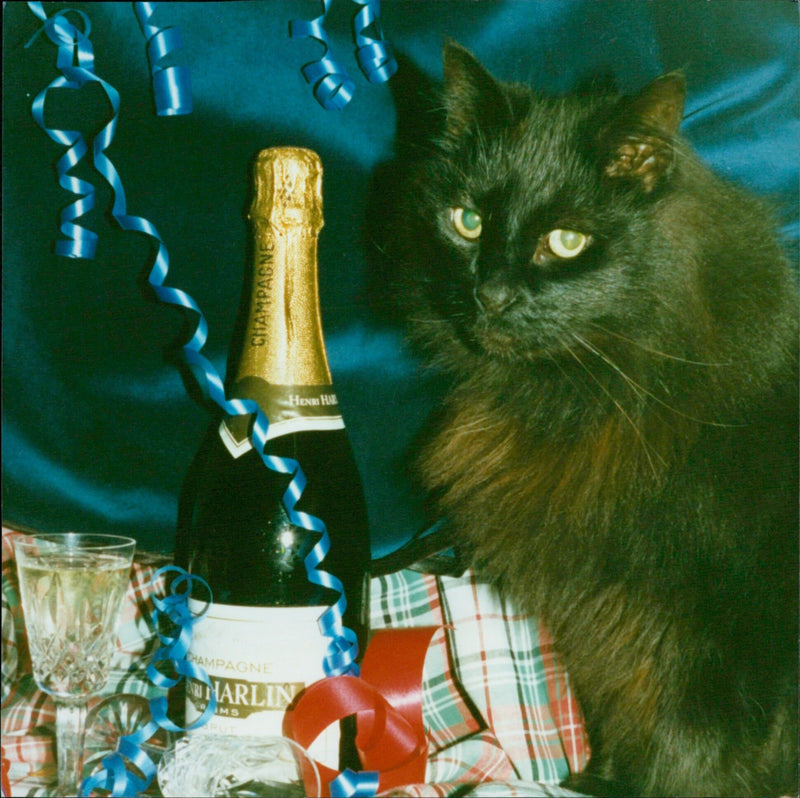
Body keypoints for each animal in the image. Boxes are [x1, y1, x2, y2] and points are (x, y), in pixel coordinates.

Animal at [378, 42, 796, 798]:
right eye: (467, 221)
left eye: (567, 241)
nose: (492, 293)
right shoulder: (601, 619)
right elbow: (621, 715)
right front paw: (598, 778)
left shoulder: (690, 629)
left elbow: (688, 741)